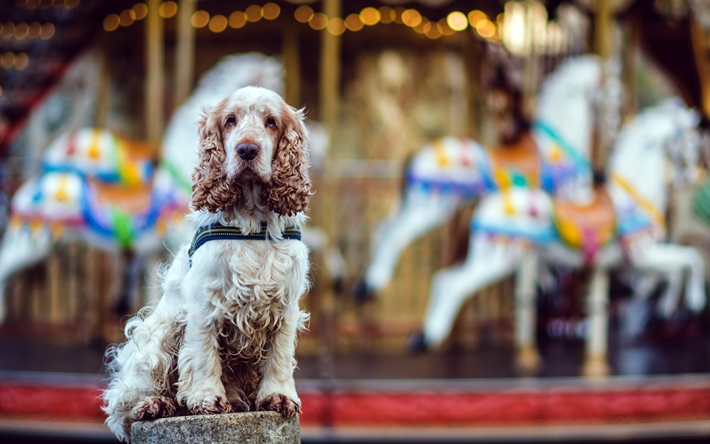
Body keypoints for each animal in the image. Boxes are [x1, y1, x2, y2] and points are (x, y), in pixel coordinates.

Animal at [102, 86, 312, 440]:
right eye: (230, 120)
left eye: (271, 121)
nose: (247, 149)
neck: (252, 221)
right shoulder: (205, 302)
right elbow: (203, 354)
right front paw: (206, 398)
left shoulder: (286, 304)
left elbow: (280, 355)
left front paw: (279, 396)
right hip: (157, 335)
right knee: (124, 408)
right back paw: (155, 405)